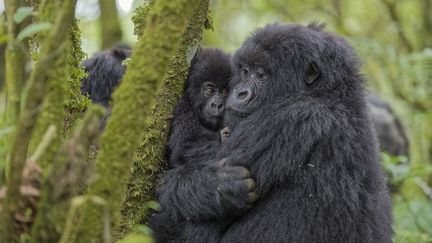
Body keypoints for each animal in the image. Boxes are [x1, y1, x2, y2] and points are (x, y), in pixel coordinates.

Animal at [154, 22, 394, 243]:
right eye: (245, 71)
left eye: (261, 74)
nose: (239, 93)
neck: (329, 93)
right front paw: (221, 185)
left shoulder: (286, 119)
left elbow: (165, 193)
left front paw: (217, 185)